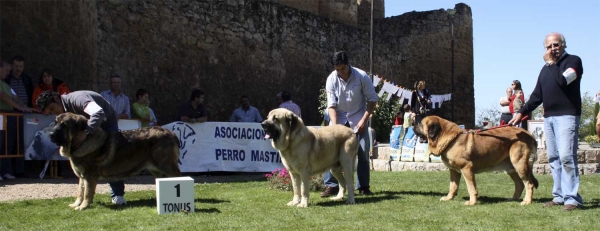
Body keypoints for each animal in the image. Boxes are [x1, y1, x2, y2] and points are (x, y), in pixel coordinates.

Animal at [49, 113, 182, 210]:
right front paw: (76, 204)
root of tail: (170, 132)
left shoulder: (89, 175)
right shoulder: (82, 176)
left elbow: (87, 193)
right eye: (55, 123)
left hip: (166, 166)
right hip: (157, 170)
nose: (50, 134)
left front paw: (83, 207)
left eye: (64, 125)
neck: (82, 141)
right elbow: (80, 192)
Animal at [412, 115, 540, 206]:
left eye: (421, 124)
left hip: (519, 163)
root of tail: (529, 134)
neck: (449, 138)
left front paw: (472, 202)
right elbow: (453, 186)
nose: (413, 126)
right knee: (520, 184)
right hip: (511, 168)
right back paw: (513, 199)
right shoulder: (454, 171)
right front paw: (449, 198)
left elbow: (471, 187)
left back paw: (527, 201)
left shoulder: (466, 168)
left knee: (529, 184)